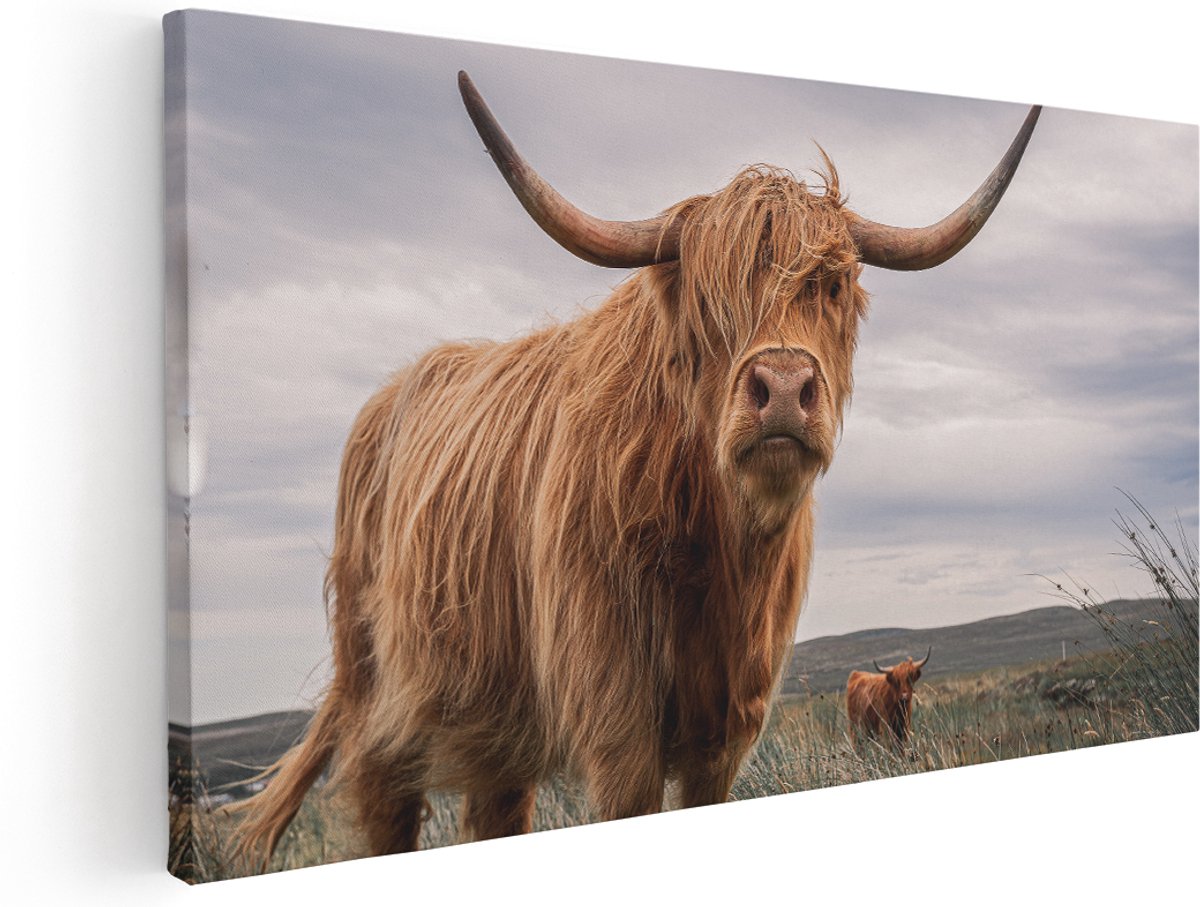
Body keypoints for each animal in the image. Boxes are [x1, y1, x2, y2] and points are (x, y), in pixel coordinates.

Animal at [232, 71, 1038, 865]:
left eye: (832, 286)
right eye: (710, 301)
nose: (782, 386)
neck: (719, 559)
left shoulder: (728, 731)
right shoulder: (616, 722)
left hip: (499, 726)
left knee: (495, 811)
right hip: (378, 703)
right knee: (386, 810)